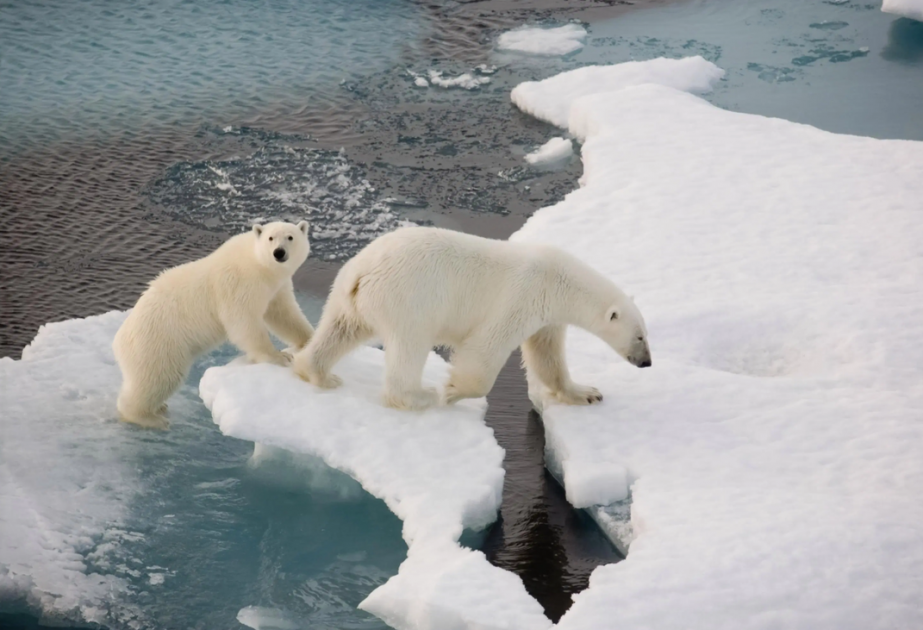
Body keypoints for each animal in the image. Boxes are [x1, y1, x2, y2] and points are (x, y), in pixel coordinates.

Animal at [113, 221, 316, 430]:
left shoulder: (276, 287)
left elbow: (283, 314)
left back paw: (159, 408)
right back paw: (149, 417)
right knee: (159, 377)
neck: (259, 266)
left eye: (290, 237)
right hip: (158, 342)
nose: (279, 252)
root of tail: (119, 341)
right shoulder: (239, 284)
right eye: (270, 238)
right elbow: (243, 321)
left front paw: (309, 339)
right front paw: (278, 357)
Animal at [294, 226, 648, 410]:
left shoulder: (547, 316)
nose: (647, 362)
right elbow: (485, 347)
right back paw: (420, 396)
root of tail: (362, 272)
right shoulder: (523, 294)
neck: (559, 279)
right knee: (410, 345)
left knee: (339, 330)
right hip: (409, 299)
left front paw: (587, 392)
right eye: (640, 336)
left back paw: (318, 372)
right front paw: (452, 390)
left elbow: (548, 357)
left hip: (346, 296)